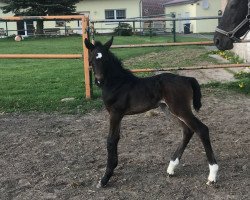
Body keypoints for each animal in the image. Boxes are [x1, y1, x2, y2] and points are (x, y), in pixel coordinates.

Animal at [85, 37, 218, 188]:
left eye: (106, 59)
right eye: (91, 60)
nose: (99, 80)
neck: (118, 84)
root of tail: (187, 78)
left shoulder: (115, 113)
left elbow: (111, 141)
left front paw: (105, 178)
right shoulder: (117, 115)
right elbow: (116, 139)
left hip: (180, 108)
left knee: (202, 129)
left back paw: (212, 175)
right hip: (169, 109)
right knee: (187, 131)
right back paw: (171, 167)